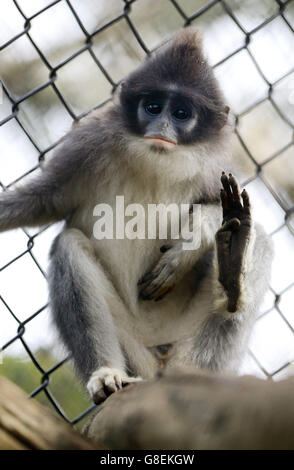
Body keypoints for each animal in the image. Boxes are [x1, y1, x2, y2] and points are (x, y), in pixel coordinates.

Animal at [0, 28, 272, 404]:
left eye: (182, 112)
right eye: (153, 107)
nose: (163, 124)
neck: (155, 160)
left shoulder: (213, 166)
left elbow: (221, 204)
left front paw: (189, 245)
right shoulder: (87, 142)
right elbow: (44, 200)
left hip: (193, 348)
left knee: (258, 237)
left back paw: (233, 270)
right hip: (134, 349)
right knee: (68, 245)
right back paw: (106, 374)